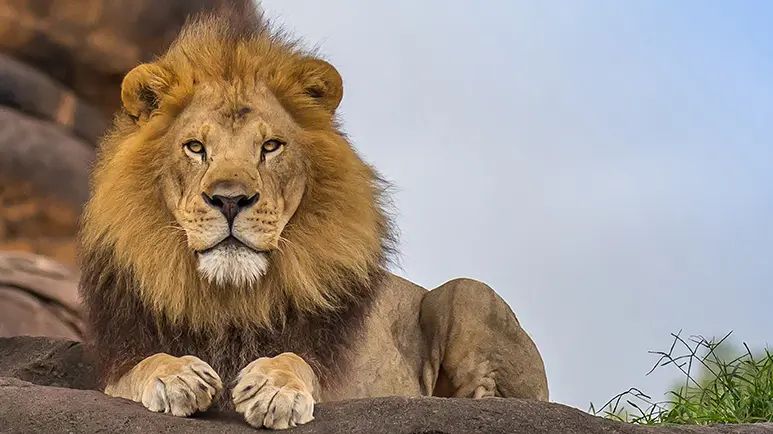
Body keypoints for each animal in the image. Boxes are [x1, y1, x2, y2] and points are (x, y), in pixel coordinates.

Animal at [79, 8, 548, 430]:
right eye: (195, 147)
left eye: (271, 146)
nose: (230, 200)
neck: (230, 298)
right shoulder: (118, 361)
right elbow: (142, 365)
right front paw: (177, 375)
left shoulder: (337, 376)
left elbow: (295, 359)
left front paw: (274, 389)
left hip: (467, 293)